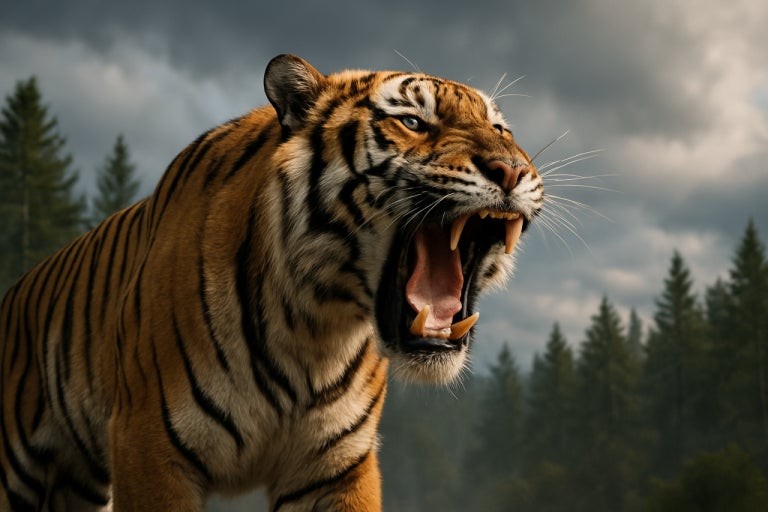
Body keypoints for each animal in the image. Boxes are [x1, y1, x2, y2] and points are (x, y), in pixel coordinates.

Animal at [0, 54, 543, 511]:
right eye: (412, 122)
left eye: (501, 128)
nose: (512, 170)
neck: (315, 328)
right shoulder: (149, 446)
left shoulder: (335, 467)